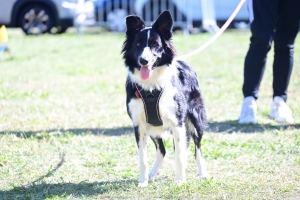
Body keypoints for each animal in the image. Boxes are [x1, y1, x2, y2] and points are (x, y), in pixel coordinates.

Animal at [122, 10, 209, 186]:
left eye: (155, 44)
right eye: (138, 44)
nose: (143, 61)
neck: (151, 87)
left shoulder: (178, 123)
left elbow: (180, 155)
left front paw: (180, 180)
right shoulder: (139, 125)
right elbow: (143, 158)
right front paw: (142, 182)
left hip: (196, 119)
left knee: (197, 148)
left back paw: (203, 173)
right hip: (153, 128)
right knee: (161, 150)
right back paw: (152, 174)